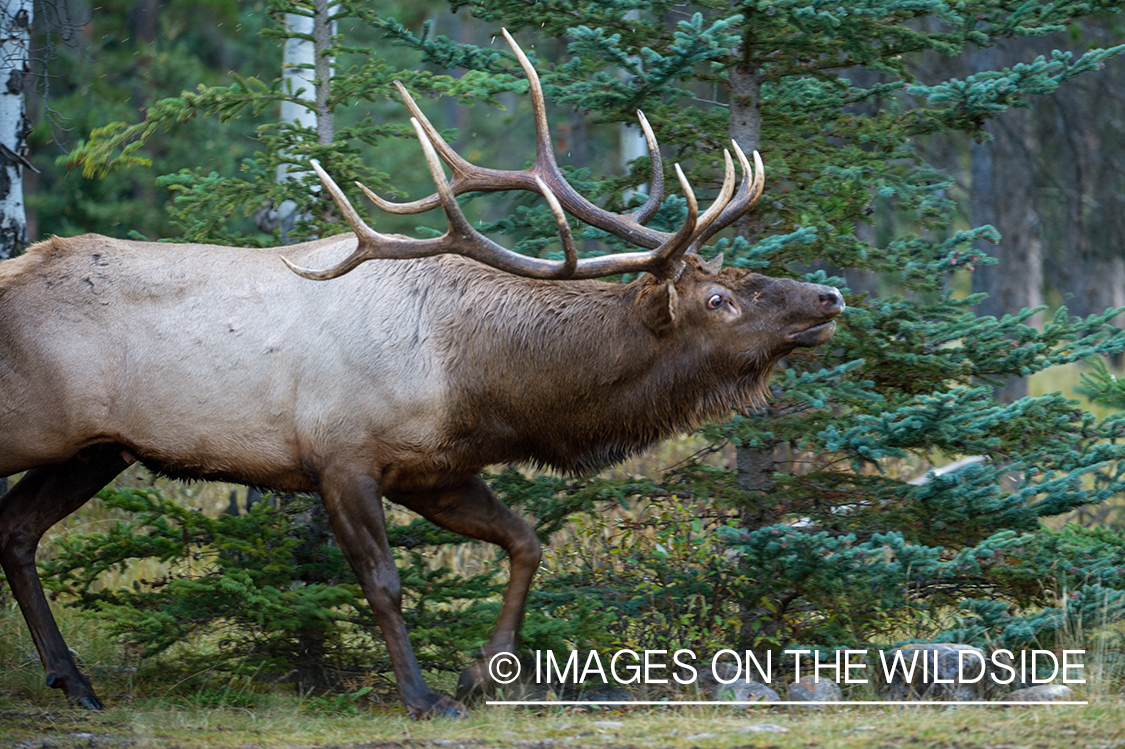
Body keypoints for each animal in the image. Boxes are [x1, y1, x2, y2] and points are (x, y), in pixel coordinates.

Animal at [0, 31, 843, 718]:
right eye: (718, 298)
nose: (828, 295)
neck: (483, 385)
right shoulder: (340, 456)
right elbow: (384, 580)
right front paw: (421, 694)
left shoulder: (434, 471)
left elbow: (526, 541)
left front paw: (481, 671)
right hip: (35, 428)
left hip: (96, 449)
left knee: (17, 529)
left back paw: (74, 680)